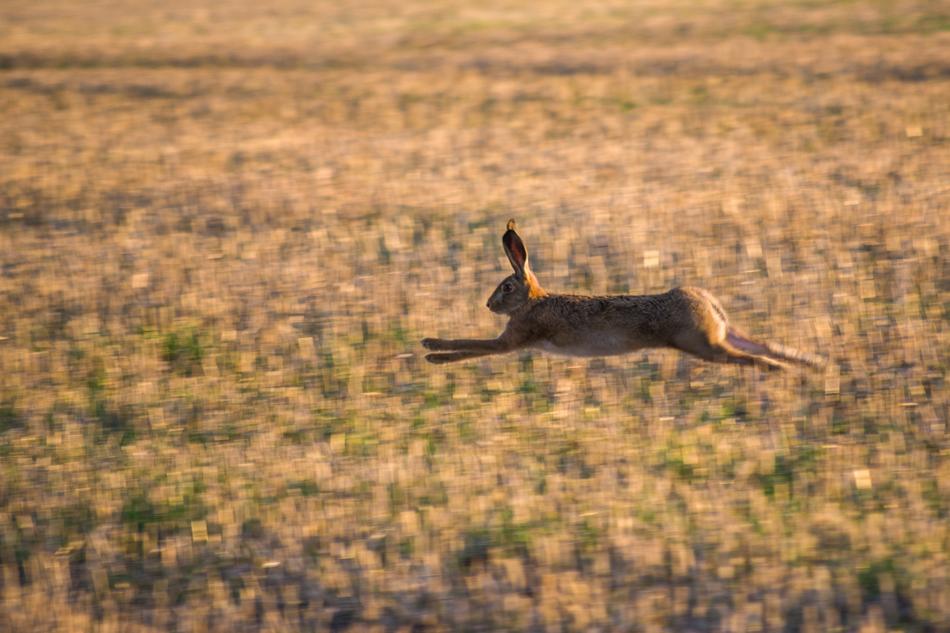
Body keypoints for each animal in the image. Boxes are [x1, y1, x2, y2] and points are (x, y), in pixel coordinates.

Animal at [422, 219, 824, 371]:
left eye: (506, 287)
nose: (489, 305)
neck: (533, 300)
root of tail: (707, 303)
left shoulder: (513, 340)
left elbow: (474, 346)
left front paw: (432, 352)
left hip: (702, 343)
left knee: (751, 357)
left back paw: (784, 372)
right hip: (716, 337)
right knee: (761, 345)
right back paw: (812, 366)